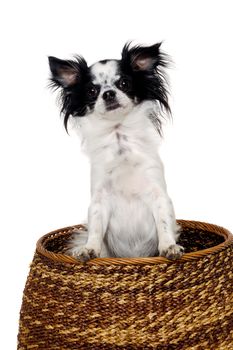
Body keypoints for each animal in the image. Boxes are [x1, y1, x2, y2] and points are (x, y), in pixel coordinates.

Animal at [48, 41, 184, 262]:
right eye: (92, 91)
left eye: (124, 83)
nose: (108, 93)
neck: (119, 139)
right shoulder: (99, 200)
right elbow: (95, 227)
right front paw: (89, 248)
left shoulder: (158, 194)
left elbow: (163, 222)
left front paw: (169, 246)